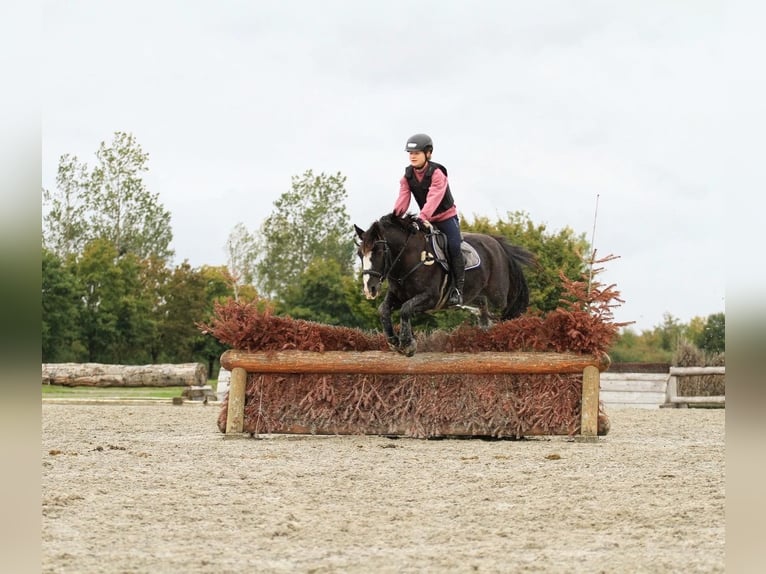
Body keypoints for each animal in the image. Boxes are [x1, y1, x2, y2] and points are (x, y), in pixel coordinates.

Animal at [354, 213, 536, 356]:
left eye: (379, 252)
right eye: (359, 254)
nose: (369, 289)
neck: (408, 258)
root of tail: (497, 243)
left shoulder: (431, 297)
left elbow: (405, 309)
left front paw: (407, 343)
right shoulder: (398, 296)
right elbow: (383, 310)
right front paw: (393, 341)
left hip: (498, 295)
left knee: (504, 310)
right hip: (476, 293)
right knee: (483, 305)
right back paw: (484, 326)